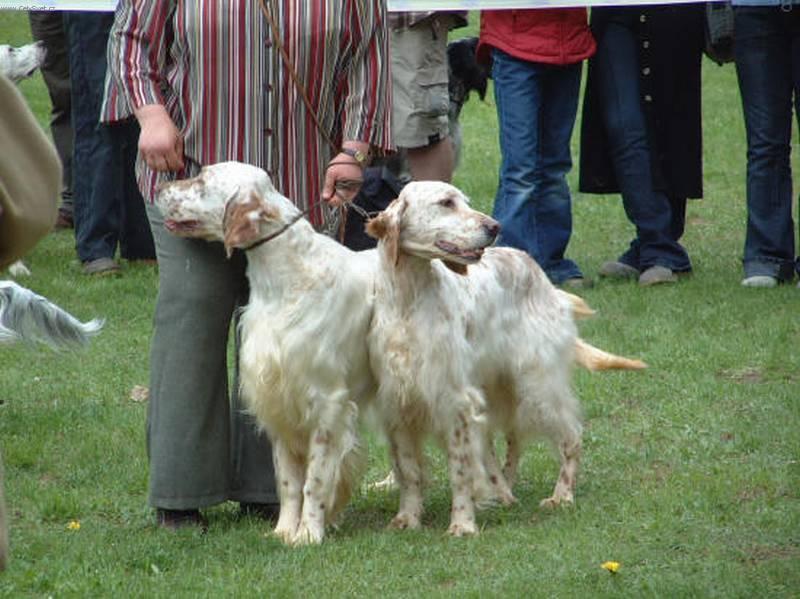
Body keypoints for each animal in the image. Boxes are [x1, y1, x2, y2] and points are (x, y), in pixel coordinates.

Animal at [160, 162, 382, 548]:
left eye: (202, 180)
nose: (158, 189)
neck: (288, 278)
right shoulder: (277, 399)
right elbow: (289, 481)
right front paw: (283, 531)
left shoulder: (328, 403)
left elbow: (315, 481)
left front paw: (309, 534)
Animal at [366, 182, 648, 536]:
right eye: (446, 203)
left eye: (464, 201)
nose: (495, 227)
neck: (408, 298)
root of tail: (535, 268)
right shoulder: (399, 403)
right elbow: (410, 472)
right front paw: (407, 518)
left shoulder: (455, 400)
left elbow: (460, 470)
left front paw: (462, 524)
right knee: (512, 439)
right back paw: (505, 491)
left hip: (538, 382)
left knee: (570, 436)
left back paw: (561, 495)